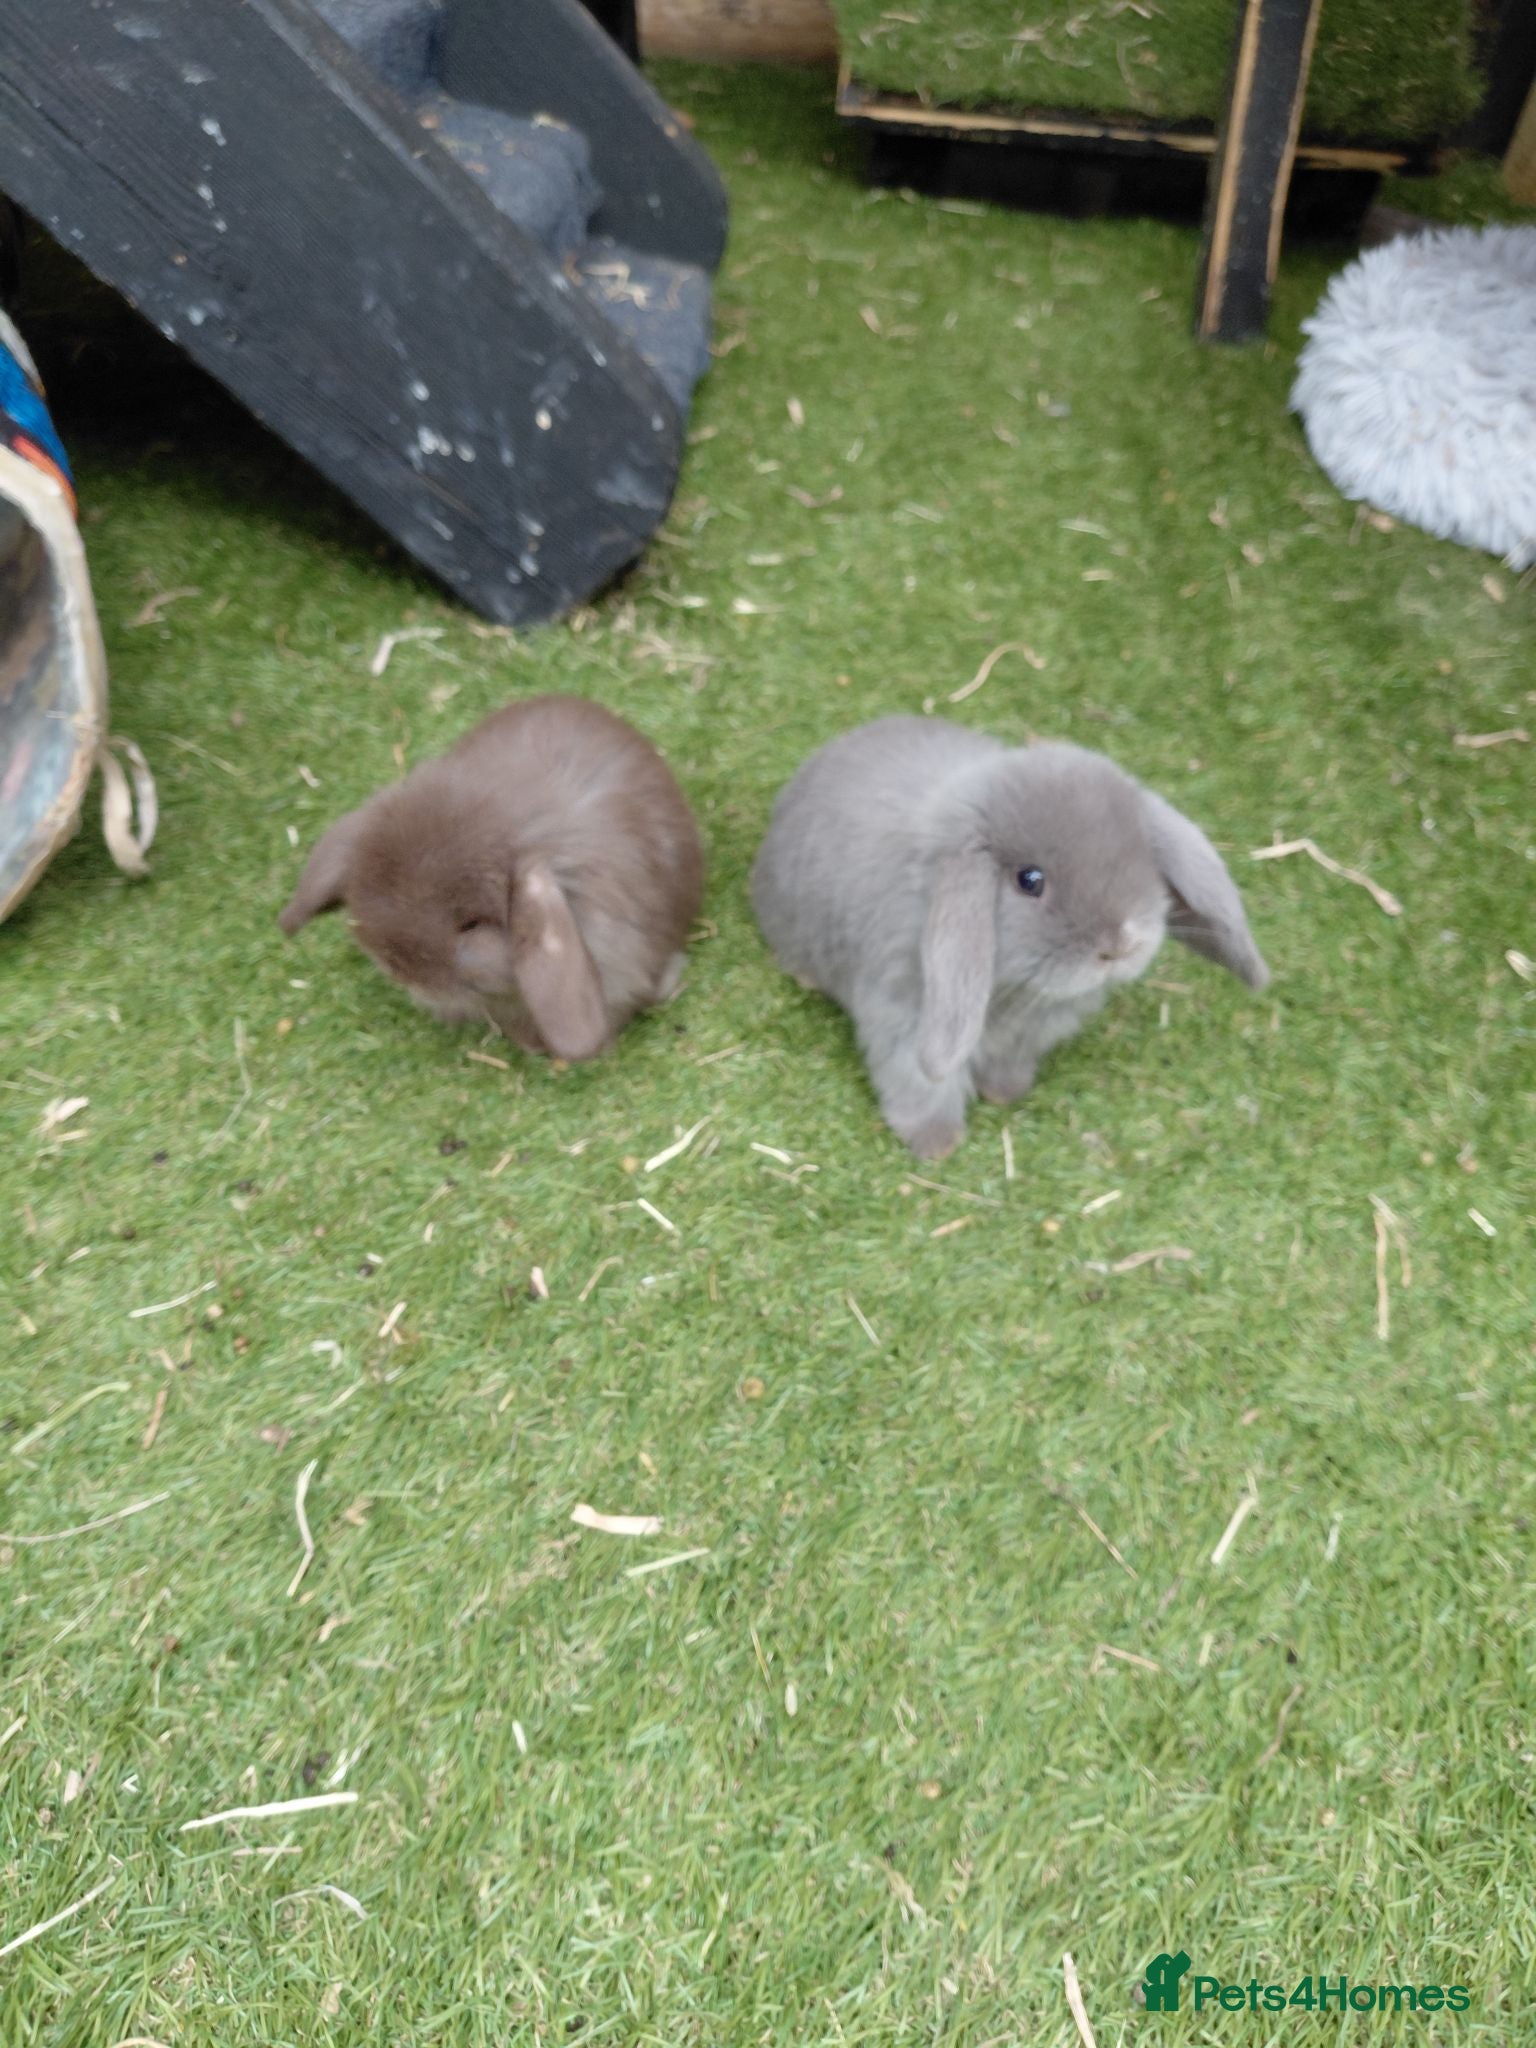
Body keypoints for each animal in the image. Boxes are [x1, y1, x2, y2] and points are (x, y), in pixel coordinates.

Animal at [750, 717, 1268, 1158]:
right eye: (1029, 880)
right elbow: (922, 1086)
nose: (1119, 945)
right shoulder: (904, 1019)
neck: (1013, 990)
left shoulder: (1026, 1036)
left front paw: (1004, 1095)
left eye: (1144, 859)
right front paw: (937, 1146)